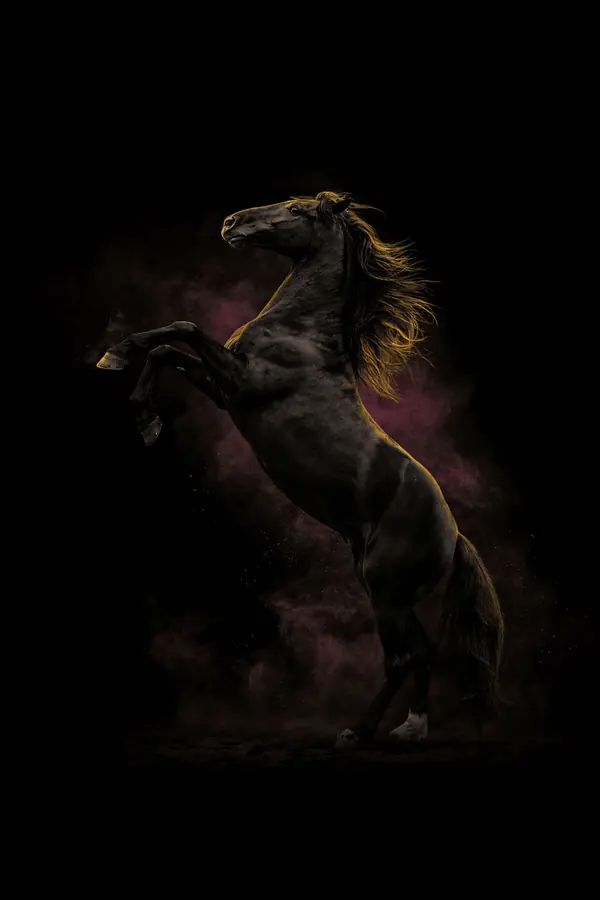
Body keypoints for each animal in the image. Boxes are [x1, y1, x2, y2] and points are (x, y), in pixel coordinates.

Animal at [96, 190, 504, 748]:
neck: (302, 333)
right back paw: (393, 729)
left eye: (294, 209)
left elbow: (184, 328)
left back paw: (373, 731)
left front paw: (122, 372)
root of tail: (455, 535)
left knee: (404, 657)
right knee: (413, 654)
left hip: (387, 592)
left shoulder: (241, 381)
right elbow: (166, 347)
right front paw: (138, 405)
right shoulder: (223, 389)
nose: (230, 223)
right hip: (383, 591)